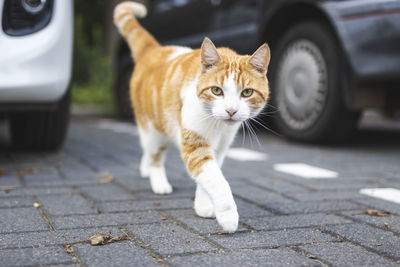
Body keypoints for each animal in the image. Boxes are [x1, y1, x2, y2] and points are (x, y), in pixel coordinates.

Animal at [114, 1, 270, 232]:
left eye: (247, 92)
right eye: (216, 91)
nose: (231, 111)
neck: (217, 126)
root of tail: (155, 49)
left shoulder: (220, 148)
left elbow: (207, 179)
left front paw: (203, 206)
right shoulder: (194, 143)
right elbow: (217, 181)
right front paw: (228, 216)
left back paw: (145, 169)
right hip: (153, 128)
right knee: (154, 155)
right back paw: (158, 181)